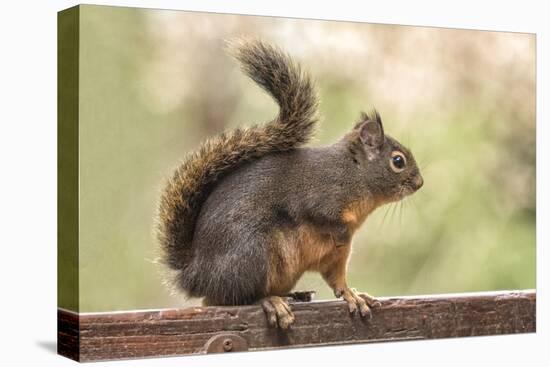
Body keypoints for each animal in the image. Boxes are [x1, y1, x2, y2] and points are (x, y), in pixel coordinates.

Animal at [157, 38, 424, 330]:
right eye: (398, 161)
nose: (419, 183)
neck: (354, 175)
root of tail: (196, 274)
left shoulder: (337, 256)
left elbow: (338, 281)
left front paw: (353, 295)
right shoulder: (321, 195)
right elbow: (322, 218)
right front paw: (342, 232)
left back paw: (294, 295)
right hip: (253, 253)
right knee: (231, 299)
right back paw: (270, 302)